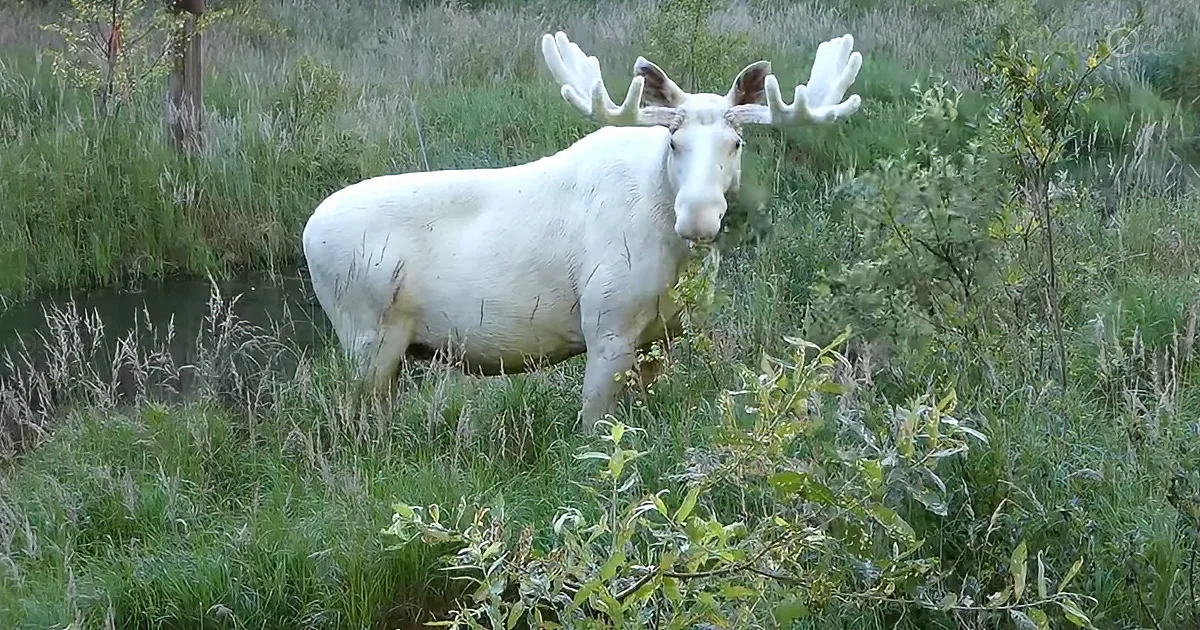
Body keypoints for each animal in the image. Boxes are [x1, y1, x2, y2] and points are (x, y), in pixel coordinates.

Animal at [301, 30, 864, 433]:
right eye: (674, 141)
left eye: (737, 143)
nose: (698, 217)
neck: (675, 261)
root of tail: (307, 232)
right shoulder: (606, 325)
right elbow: (593, 427)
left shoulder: (665, 336)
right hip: (365, 336)